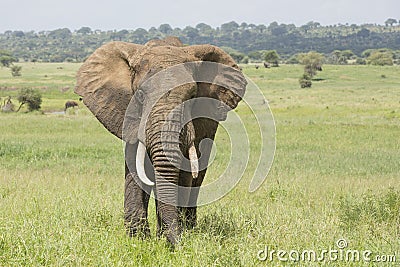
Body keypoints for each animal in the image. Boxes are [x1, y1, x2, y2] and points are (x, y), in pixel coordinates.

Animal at [73, 36, 245, 246]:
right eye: (139, 96)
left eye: (192, 96)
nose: (176, 245)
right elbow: (135, 168)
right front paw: (138, 240)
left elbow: (184, 173)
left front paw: (168, 236)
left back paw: (189, 227)